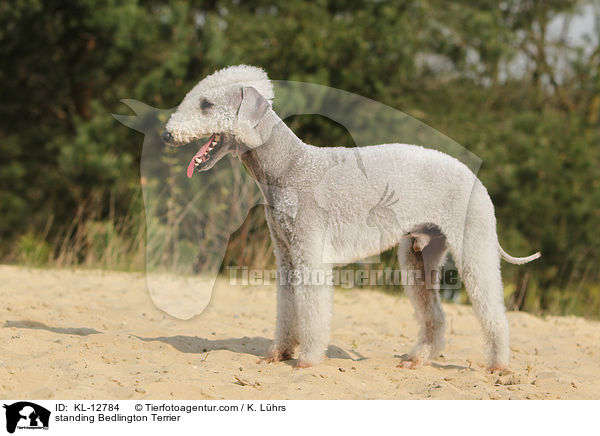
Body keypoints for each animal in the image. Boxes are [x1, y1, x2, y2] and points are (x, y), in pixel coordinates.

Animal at [162, 63, 540, 372]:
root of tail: (473, 176)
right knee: (435, 315)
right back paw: (416, 360)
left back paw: (498, 367)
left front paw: (307, 360)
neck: (289, 166)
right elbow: (287, 308)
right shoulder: (286, 254)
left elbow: (312, 310)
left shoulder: (309, 251)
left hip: (473, 243)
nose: (167, 134)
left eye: (206, 104)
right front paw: (278, 353)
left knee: (493, 311)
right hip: (420, 253)